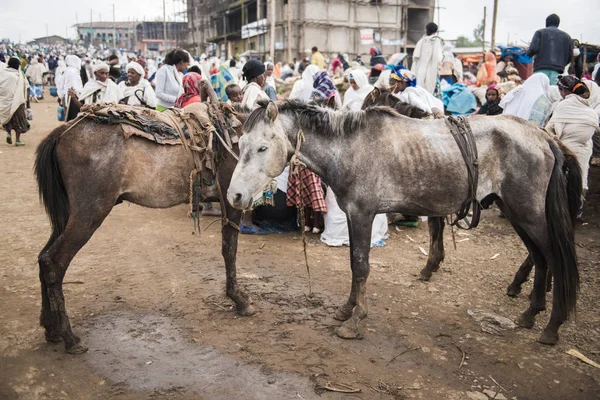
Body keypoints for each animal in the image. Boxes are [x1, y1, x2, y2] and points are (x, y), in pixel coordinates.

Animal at [34, 103, 251, 354]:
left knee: (43, 258)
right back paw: (70, 338)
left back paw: (51, 328)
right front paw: (239, 299)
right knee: (54, 262)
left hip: (67, 216)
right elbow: (230, 250)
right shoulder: (233, 202)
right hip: (88, 214)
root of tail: (63, 132)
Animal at [226, 99, 580, 344]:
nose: (234, 196)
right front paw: (347, 309)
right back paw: (530, 314)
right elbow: (355, 264)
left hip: (530, 215)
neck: (349, 148)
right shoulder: (355, 215)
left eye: (262, 147)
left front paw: (356, 320)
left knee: (555, 260)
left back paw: (552, 326)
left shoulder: (363, 213)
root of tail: (544, 136)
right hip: (518, 213)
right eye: (240, 145)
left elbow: (361, 266)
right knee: (540, 259)